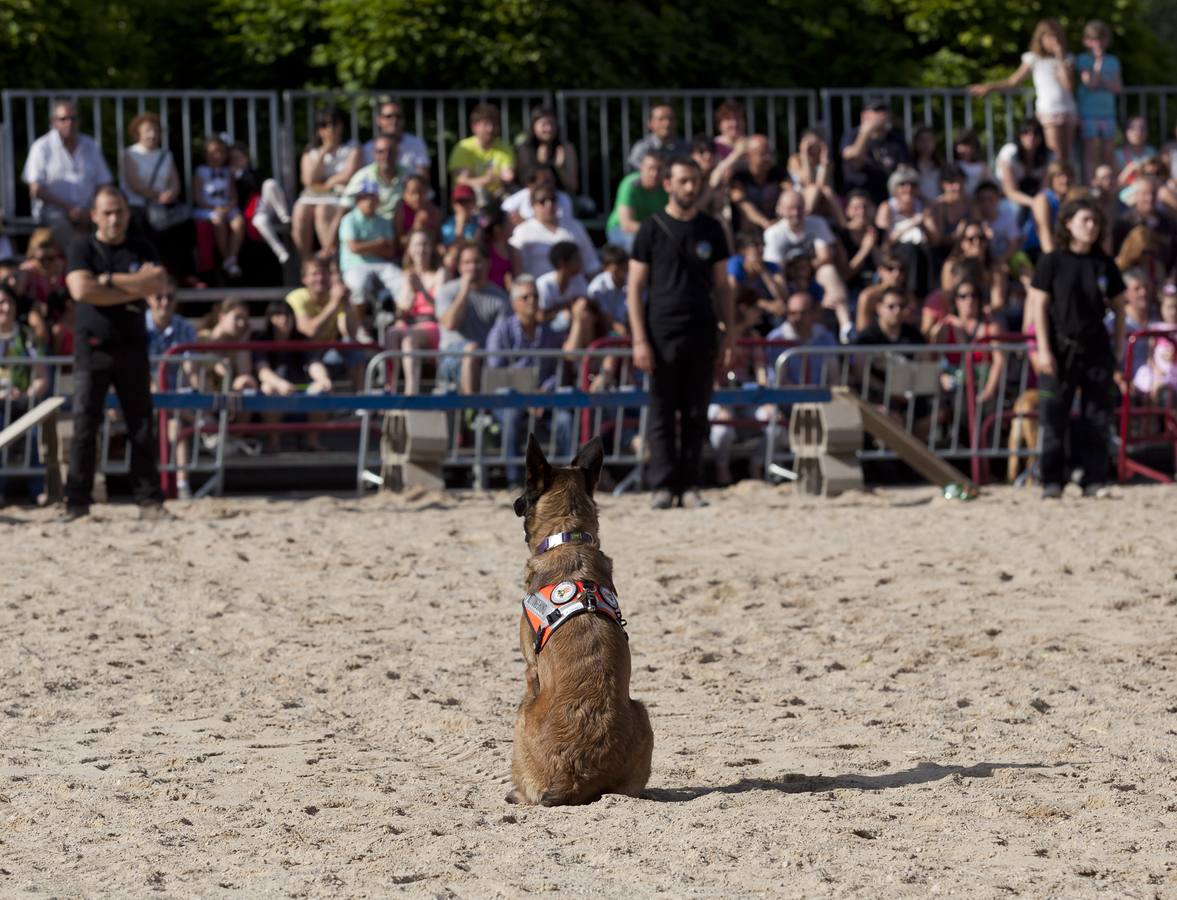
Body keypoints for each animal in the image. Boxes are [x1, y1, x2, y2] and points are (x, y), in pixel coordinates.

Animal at [506, 432, 654, 804]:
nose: (514, 502)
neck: (568, 536)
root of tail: (576, 776)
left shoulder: (530, 669)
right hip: (643, 713)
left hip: (523, 710)